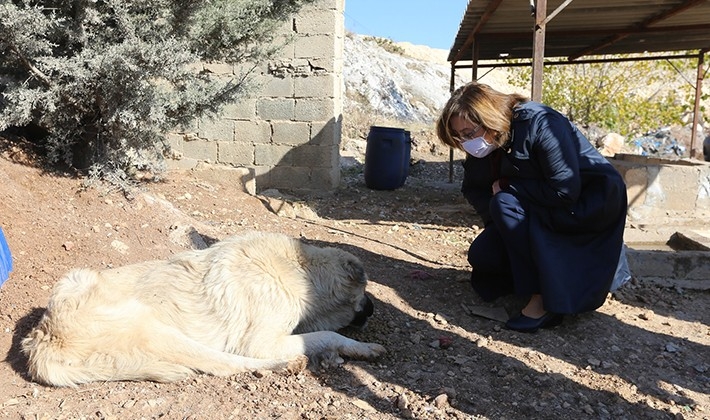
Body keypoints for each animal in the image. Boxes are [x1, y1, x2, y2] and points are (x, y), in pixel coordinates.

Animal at [22, 233, 386, 388]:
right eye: (366, 292)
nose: (373, 309)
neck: (299, 270)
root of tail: (41, 338)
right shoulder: (260, 341)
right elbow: (325, 334)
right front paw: (362, 348)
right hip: (159, 328)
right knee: (224, 363)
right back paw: (284, 365)